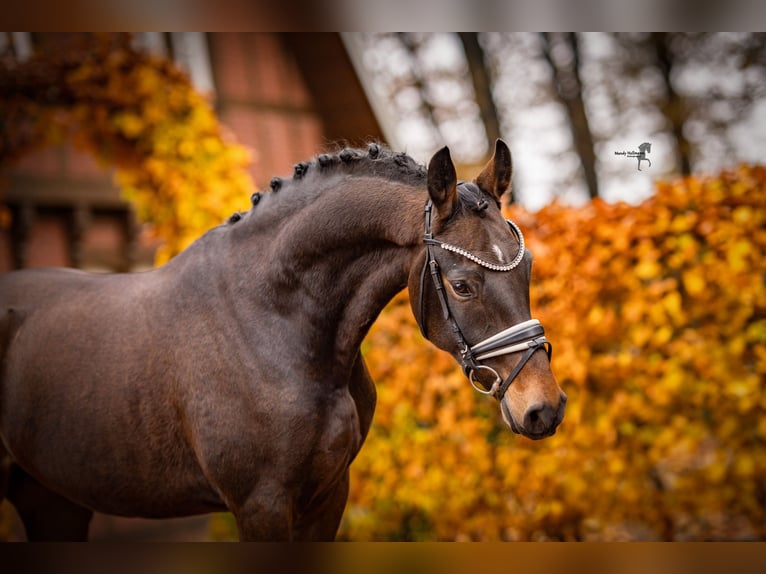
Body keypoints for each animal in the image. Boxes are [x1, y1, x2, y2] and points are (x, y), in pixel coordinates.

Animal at [0, 138, 564, 540]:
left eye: (529, 267)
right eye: (463, 285)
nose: (546, 408)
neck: (271, 320)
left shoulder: (327, 496)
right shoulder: (261, 505)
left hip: (52, 499)